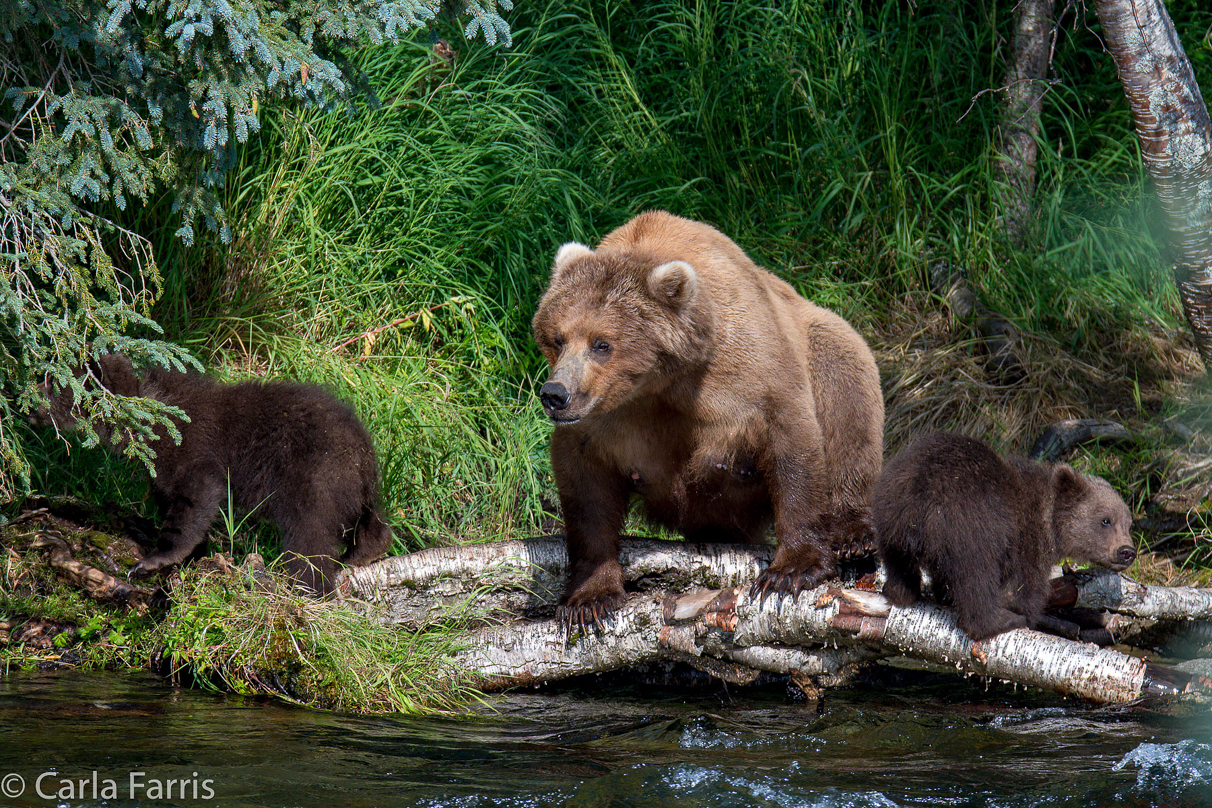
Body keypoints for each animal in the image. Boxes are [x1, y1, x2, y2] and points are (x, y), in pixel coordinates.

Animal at [530, 211, 882, 629]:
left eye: (602, 343)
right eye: (557, 337)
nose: (555, 394)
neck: (661, 382)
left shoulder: (747, 373)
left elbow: (790, 443)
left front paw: (790, 571)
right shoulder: (604, 421)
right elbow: (587, 493)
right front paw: (590, 598)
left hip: (827, 342)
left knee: (848, 404)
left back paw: (852, 536)